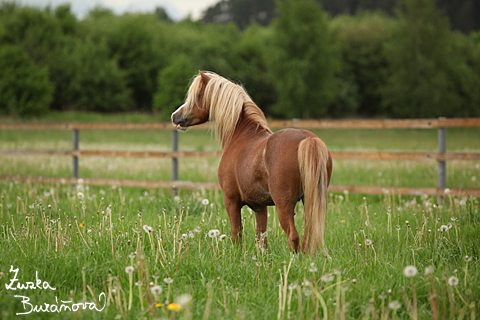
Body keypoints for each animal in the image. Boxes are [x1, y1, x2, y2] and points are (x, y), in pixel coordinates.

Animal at [172, 70, 334, 255]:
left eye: (198, 95)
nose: (175, 116)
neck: (241, 136)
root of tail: (306, 138)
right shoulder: (260, 207)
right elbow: (261, 238)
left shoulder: (231, 201)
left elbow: (237, 235)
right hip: (310, 202)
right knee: (307, 237)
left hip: (284, 205)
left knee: (293, 236)